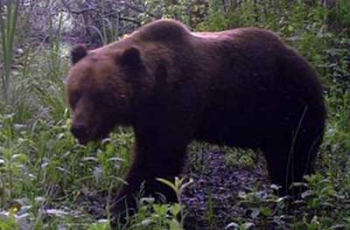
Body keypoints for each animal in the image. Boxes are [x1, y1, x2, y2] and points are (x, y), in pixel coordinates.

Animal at [65, 19, 326, 225]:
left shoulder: (178, 101)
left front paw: (125, 211)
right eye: (75, 93)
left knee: (295, 158)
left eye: (100, 95)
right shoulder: (148, 117)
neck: (151, 89)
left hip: (291, 106)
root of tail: (309, 65)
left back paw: (293, 201)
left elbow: (155, 161)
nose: (79, 128)